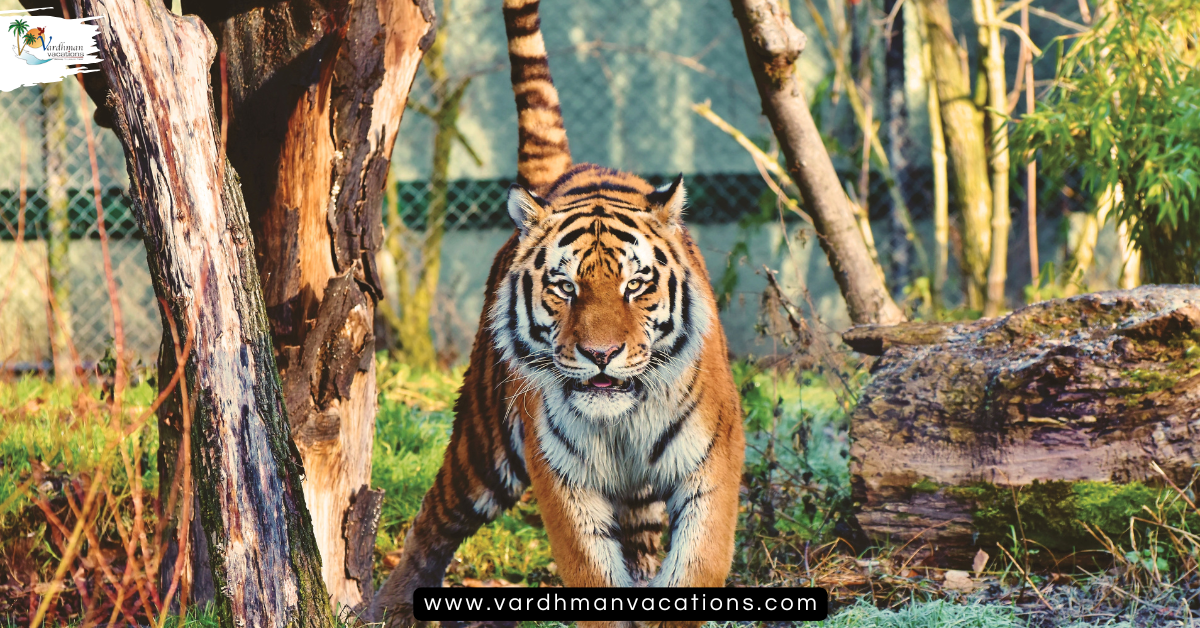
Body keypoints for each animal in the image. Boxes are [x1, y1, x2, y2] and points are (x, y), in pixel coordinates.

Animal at [369, 0, 744, 624]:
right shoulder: (562, 478)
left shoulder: (710, 463)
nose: (601, 354)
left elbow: (698, 560)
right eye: (564, 288)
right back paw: (388, 607)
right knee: (434, 518)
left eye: (636, 285)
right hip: (484, 443)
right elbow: (591, 571)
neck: (622, 423)